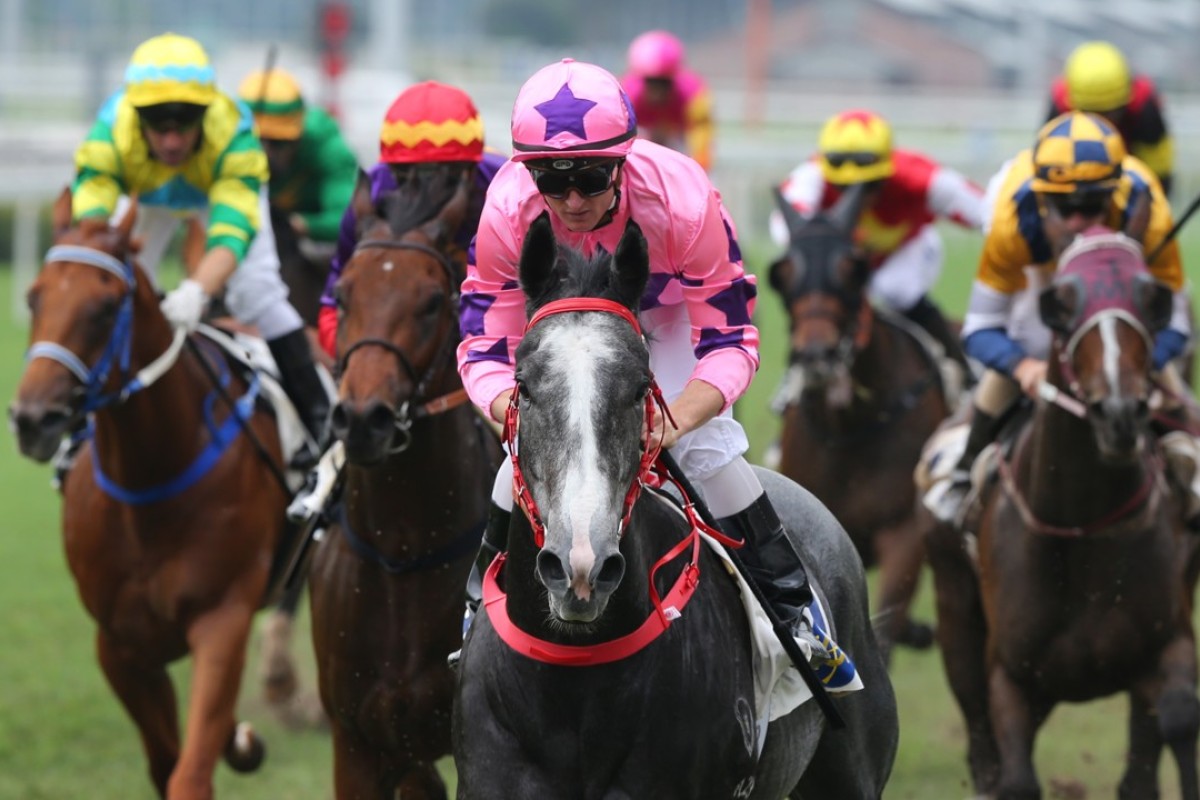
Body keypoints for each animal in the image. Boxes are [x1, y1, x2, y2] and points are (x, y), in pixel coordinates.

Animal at [9, 190, 284, 796]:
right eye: (33, 296)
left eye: (106, 307)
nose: (33, 419)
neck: (150, 484)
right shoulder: (120, 644)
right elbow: (164, 764)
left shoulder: (222, 619)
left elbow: (189, 774)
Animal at [926, 226, 1200, 800]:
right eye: (1064, 305)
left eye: (1149, 297)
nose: (1118, 413)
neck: (1082, 524)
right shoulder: (1010, 676)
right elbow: (1014, 778)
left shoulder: (1168, 641)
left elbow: (1180, 717)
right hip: (954, 611)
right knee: (980, 745)